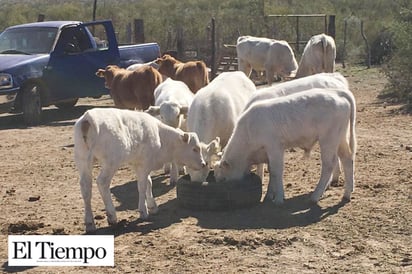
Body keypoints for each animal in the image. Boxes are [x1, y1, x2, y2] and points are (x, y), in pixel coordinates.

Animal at [74, 108, 206, 232]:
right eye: (195, 149)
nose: (203, 164)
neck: (160, 135)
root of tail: (88, 118)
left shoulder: (139, 165)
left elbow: (148, 183)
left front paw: (153, 206)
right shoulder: (144, 163)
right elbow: (142, 186)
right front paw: (143, 211)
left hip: (83, 161)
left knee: (86, 187)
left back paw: (90, 223)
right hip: (110, 163)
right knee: (102, 183)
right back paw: (112, 216)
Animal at [214, 88, 356, 206]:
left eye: (223, 178)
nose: (218, 182)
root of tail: (336, 92)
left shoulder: (275, 148)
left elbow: (277, 172)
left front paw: (278, 199)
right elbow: (272, 172)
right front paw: (269, 195)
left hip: (328, 140)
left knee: (328, 165)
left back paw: (315, 196)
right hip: (340, 138)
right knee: (347, 159)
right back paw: (347, 194)